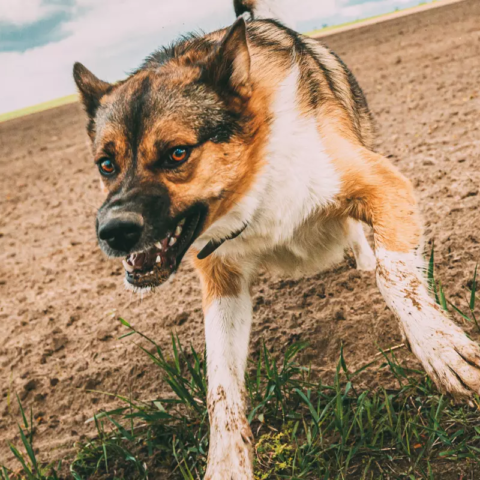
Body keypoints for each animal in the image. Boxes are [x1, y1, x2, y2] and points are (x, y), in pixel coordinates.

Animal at [73, 1, 480, 478]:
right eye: (106, 164)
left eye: (177, 153)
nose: (113, 231)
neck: (256, 178)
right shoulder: (222, 278)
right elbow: (220, 382)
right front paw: (226, 461)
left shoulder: (383, 185)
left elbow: (396, 277)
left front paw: (441, 350)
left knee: (368, 245)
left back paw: (365, 257)